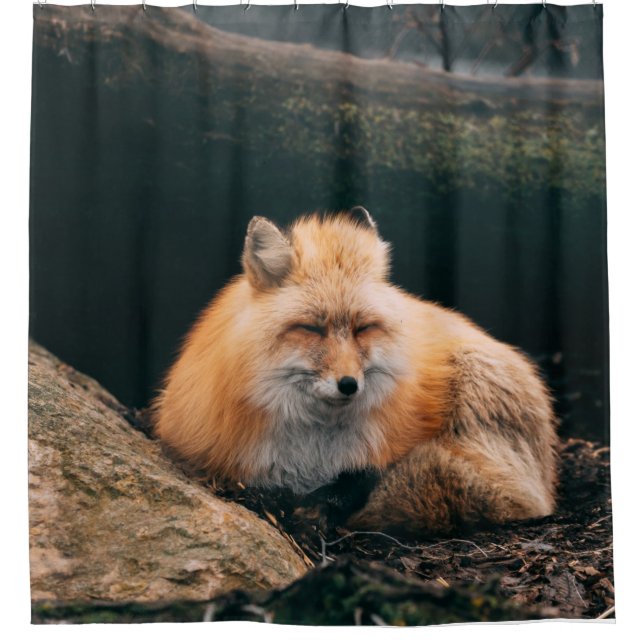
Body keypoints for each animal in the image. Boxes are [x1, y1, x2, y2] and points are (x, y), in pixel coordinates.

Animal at [153, 208, 559, 535]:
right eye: (312, 328)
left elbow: (359, 480)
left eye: (363, 328)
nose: (349, 385)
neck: (313, 452)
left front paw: (326, 505)